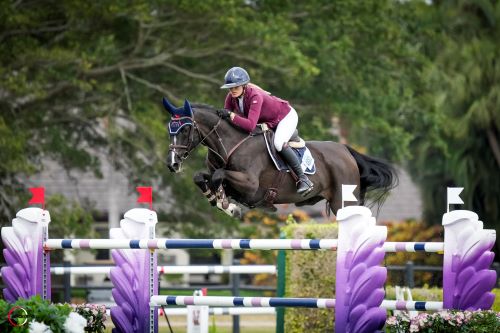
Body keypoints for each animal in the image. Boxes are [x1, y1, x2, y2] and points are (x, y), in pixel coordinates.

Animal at [165, 98, 398, 218]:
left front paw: (227, 205)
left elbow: (218, 176)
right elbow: (201, 176)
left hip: (343, 201)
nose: (172, 164)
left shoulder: (250, 186)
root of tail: (346, 151)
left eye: (185, 130)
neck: (230, 143)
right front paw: (219, 201)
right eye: (170, 129)